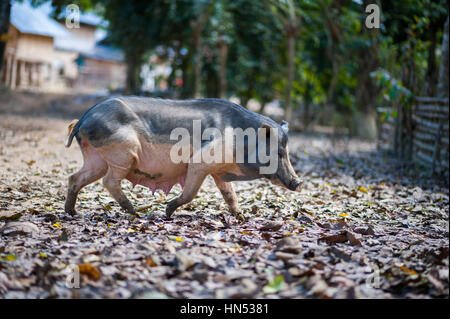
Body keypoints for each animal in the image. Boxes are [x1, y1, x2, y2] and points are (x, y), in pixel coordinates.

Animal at [64, 97, 302, 221]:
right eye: (279, 153)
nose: (298, 182)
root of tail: (83, 119)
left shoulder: (218, 171)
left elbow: (230, 194)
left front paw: (241, 217)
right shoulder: (201, 161)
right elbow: (191, 193)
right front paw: (168, 212)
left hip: (96, 159)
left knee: (75, 177)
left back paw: (72, 212)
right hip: (123, 153)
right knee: (109, 181)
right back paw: (135, 213)